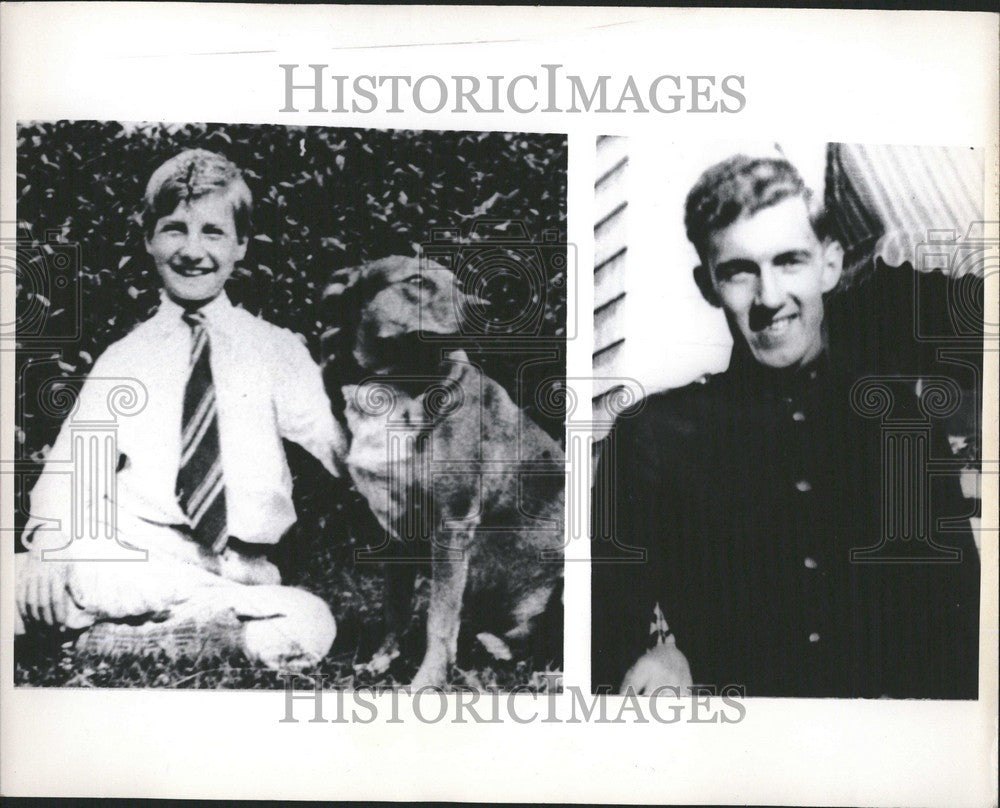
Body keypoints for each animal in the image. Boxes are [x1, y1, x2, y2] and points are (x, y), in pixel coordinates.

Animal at [324, 256, 568, 684]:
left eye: (457, 283)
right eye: (417, 280)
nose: (486, 307)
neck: (402, 384)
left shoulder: (452, 523)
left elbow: (439, 619)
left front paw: (426, 682)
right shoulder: (394, 531)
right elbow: (396, 607)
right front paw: (382, 660)